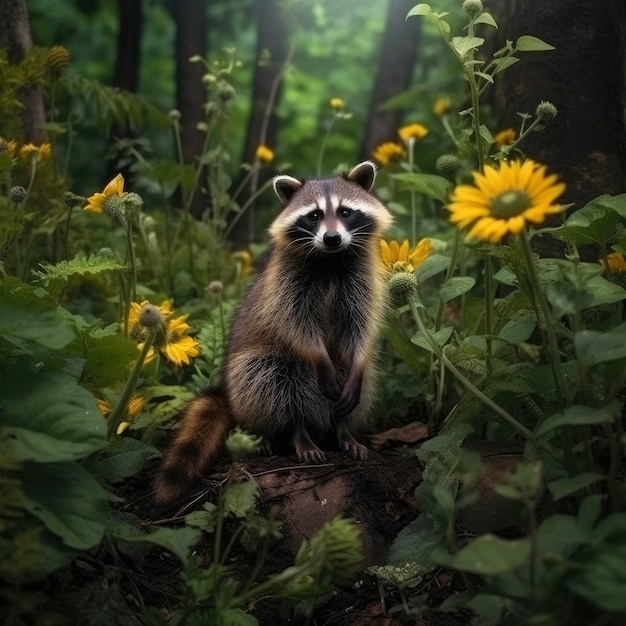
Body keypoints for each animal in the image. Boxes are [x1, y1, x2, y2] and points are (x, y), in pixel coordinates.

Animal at [153, 161, 390, 502]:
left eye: (346, 212)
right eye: (314, 215)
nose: (332, 238)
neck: (330, 259)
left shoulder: (362, 284)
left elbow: (361, 329)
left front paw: (356, 367)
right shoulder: (284, 289)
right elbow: (296, 327)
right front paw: (318, 360)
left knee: (361, 380)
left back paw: (343, 430)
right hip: (253, 372)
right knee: (275, 383)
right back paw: (293, 434)